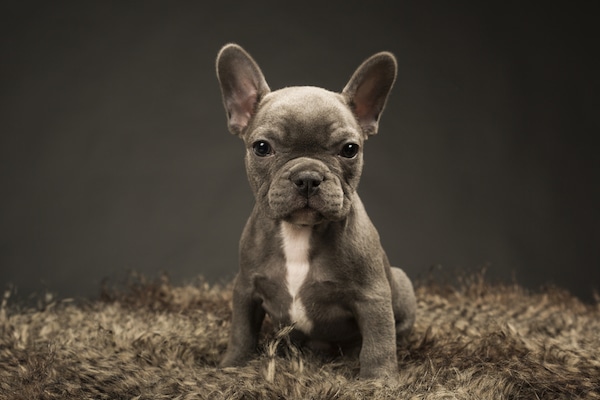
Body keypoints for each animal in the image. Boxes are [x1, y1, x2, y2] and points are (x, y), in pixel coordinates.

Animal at [217, 44, 418, 382]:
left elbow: (378, 341)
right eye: (262, 147)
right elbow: (241, 331)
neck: (299, 231)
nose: (308, 176)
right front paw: (233, 365)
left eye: (350, 149)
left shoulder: (373, 296)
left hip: (401, 284)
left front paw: (377, 380)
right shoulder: (245, 288)